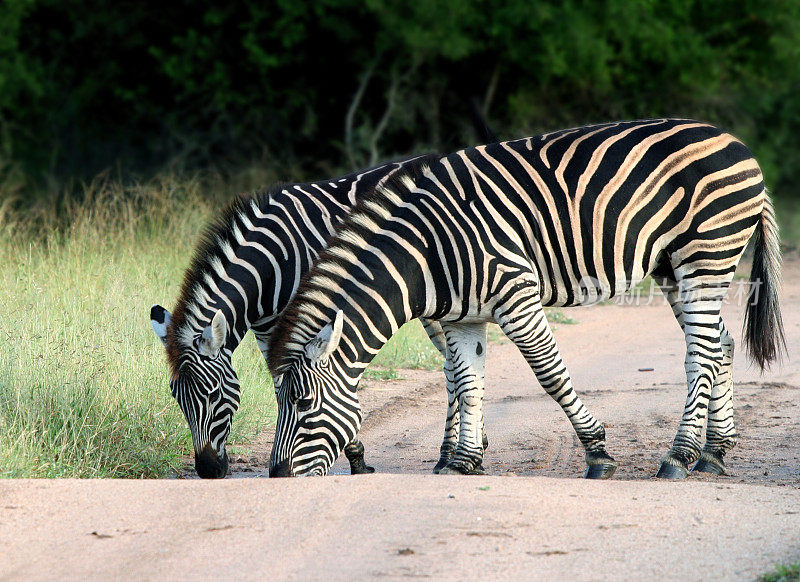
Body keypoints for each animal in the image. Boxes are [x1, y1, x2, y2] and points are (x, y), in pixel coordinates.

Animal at [266, 117, 784, 480]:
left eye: (304, 404)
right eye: (281, 404)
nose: (276, 474)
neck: (426, 250)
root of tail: (737, 143)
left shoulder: (516, 293)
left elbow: (549, 375)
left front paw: (598, 453)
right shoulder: (462, 317)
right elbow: (467, 382)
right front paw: (463, 461)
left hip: (705, 255)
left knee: (701, 352)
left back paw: (679, 456)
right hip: (672, 267)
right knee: (719, 344)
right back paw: (713, 454)